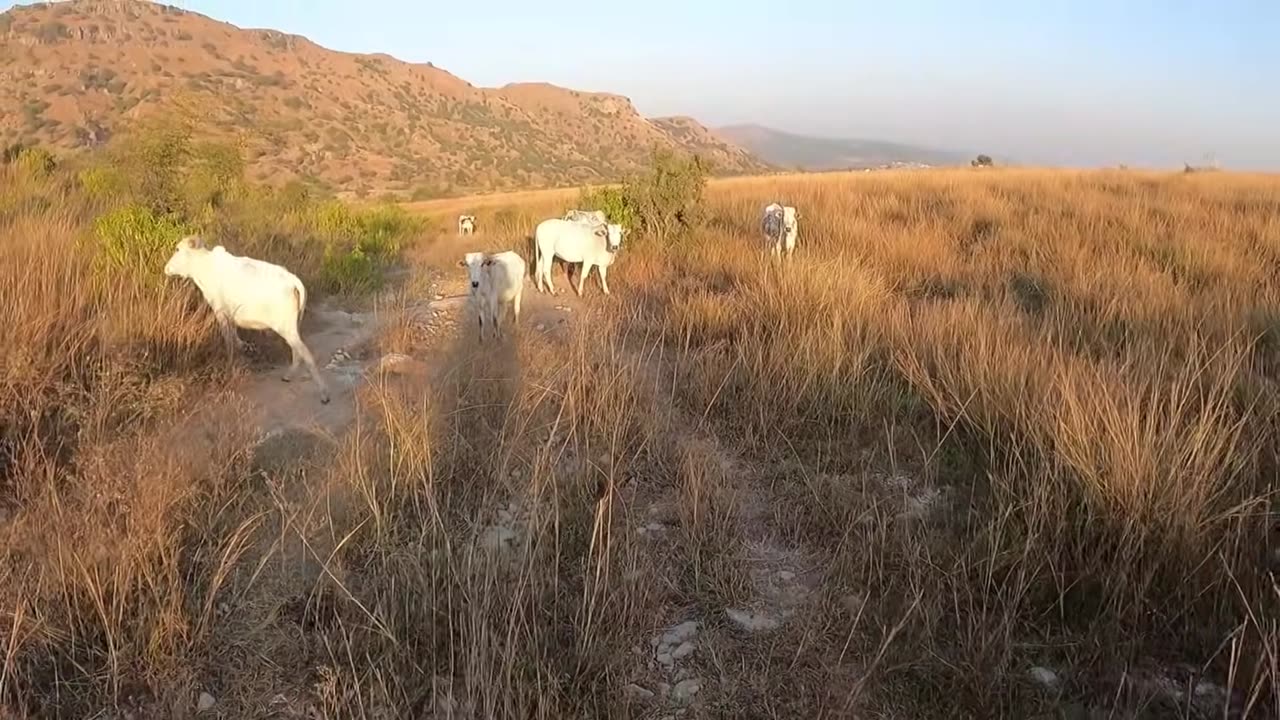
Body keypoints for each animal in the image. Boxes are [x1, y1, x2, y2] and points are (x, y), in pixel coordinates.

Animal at [163, 235, 330, 404]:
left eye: (177, 249)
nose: (166, 268)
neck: (205, 266)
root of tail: (293, 280)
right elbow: (234, 336)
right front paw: (242, 348)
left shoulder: (220, 311)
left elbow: (228, 339)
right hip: (291, 327)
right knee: (297, 351)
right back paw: (289, 376)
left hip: (286, 327)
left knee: (306, 354)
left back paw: (324, 393)